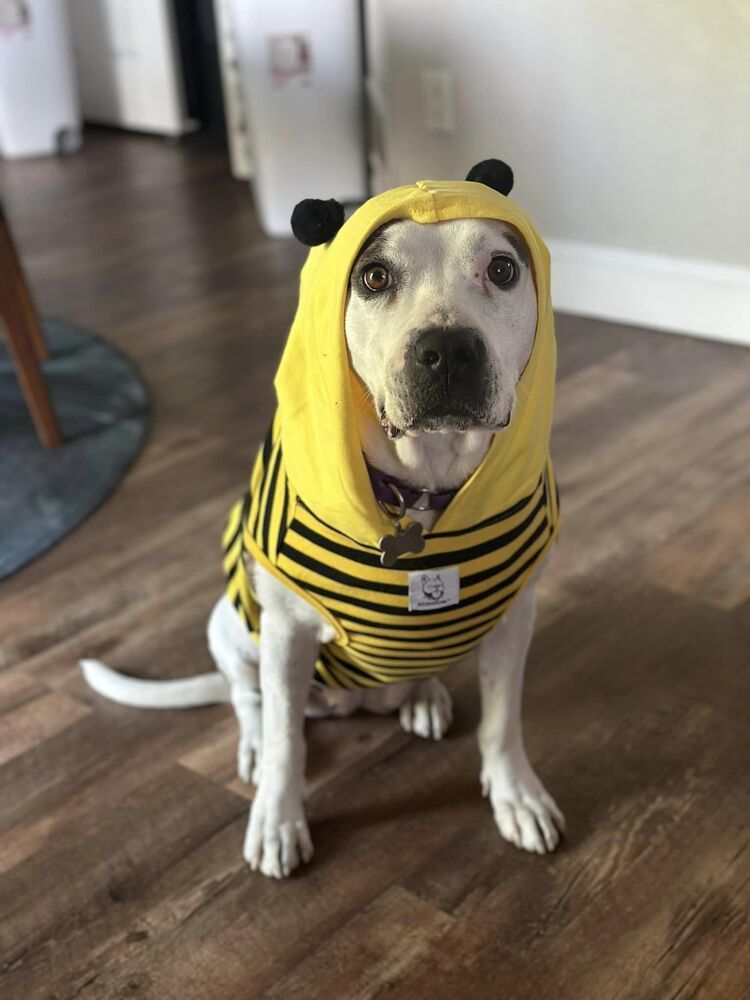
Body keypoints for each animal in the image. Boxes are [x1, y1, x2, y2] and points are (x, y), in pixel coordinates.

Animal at [82, 160, 564, 880]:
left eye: (503, 269)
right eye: (374, 278)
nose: (448, 350)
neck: (422, 488)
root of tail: (349, 700)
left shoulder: (513, 618)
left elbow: (502, 721)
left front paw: (516, 794)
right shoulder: (284, 635)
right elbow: (288, 741)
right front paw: (279, 820)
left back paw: (423, 694)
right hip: (232, 625)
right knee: (248, 698)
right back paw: (256, 744)